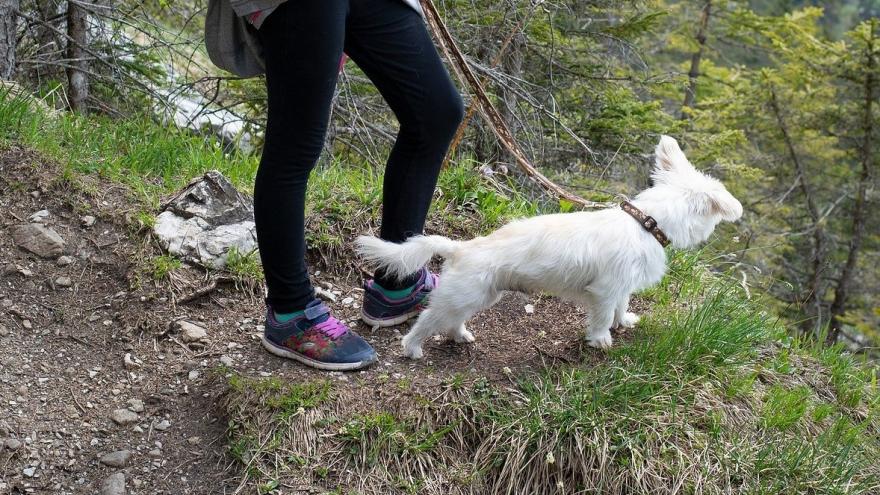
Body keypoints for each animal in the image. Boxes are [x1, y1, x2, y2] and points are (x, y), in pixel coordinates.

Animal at [354, 137, 740, 360]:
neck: (646, 221)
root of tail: (460, 248)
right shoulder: (605, 289)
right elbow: (603, 315)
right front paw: (600, 339)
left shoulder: (621, 285)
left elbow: (621, 306)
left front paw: (624, 322)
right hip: (464, 295)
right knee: (426, 321)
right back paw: (413, 349)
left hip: (478, 296)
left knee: (451, 321)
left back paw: (460, 336)